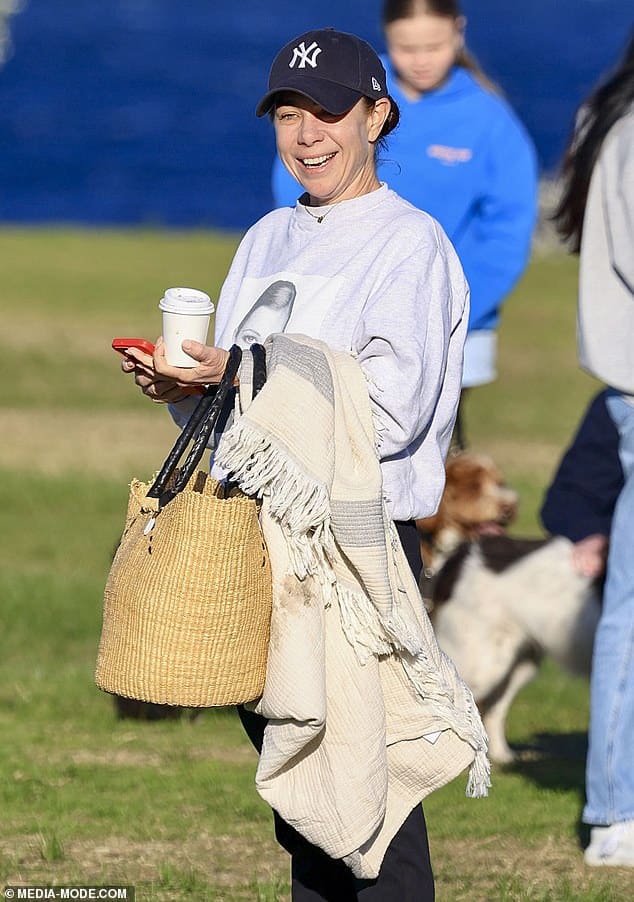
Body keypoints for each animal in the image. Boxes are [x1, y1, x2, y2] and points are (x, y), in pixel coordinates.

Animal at [418, 456, 600, 768]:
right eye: (473, 486)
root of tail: (461, 556)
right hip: (479, 660)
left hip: (518, 662)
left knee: (492, 707)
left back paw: (502, 757)